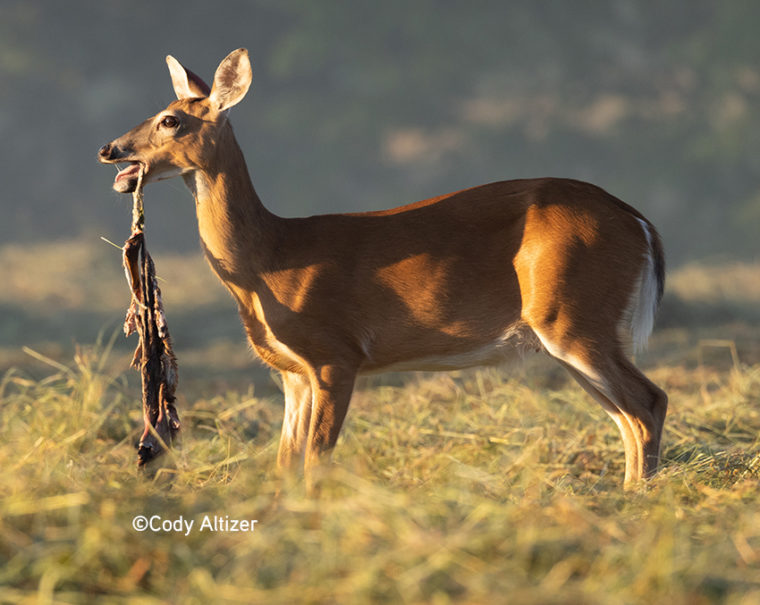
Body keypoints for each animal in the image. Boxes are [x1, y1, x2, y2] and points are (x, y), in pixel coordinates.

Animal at [99, 47, 664, 490]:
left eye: (170, 119)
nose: (109, 148)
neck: (271, 261)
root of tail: (638, 221)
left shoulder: (336, 354)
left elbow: (315, 461)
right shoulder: (293, 374)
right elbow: (285, 463)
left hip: (573, 314)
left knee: (649, 401)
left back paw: (639, 501)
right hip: (573, 332)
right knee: (626, 415)